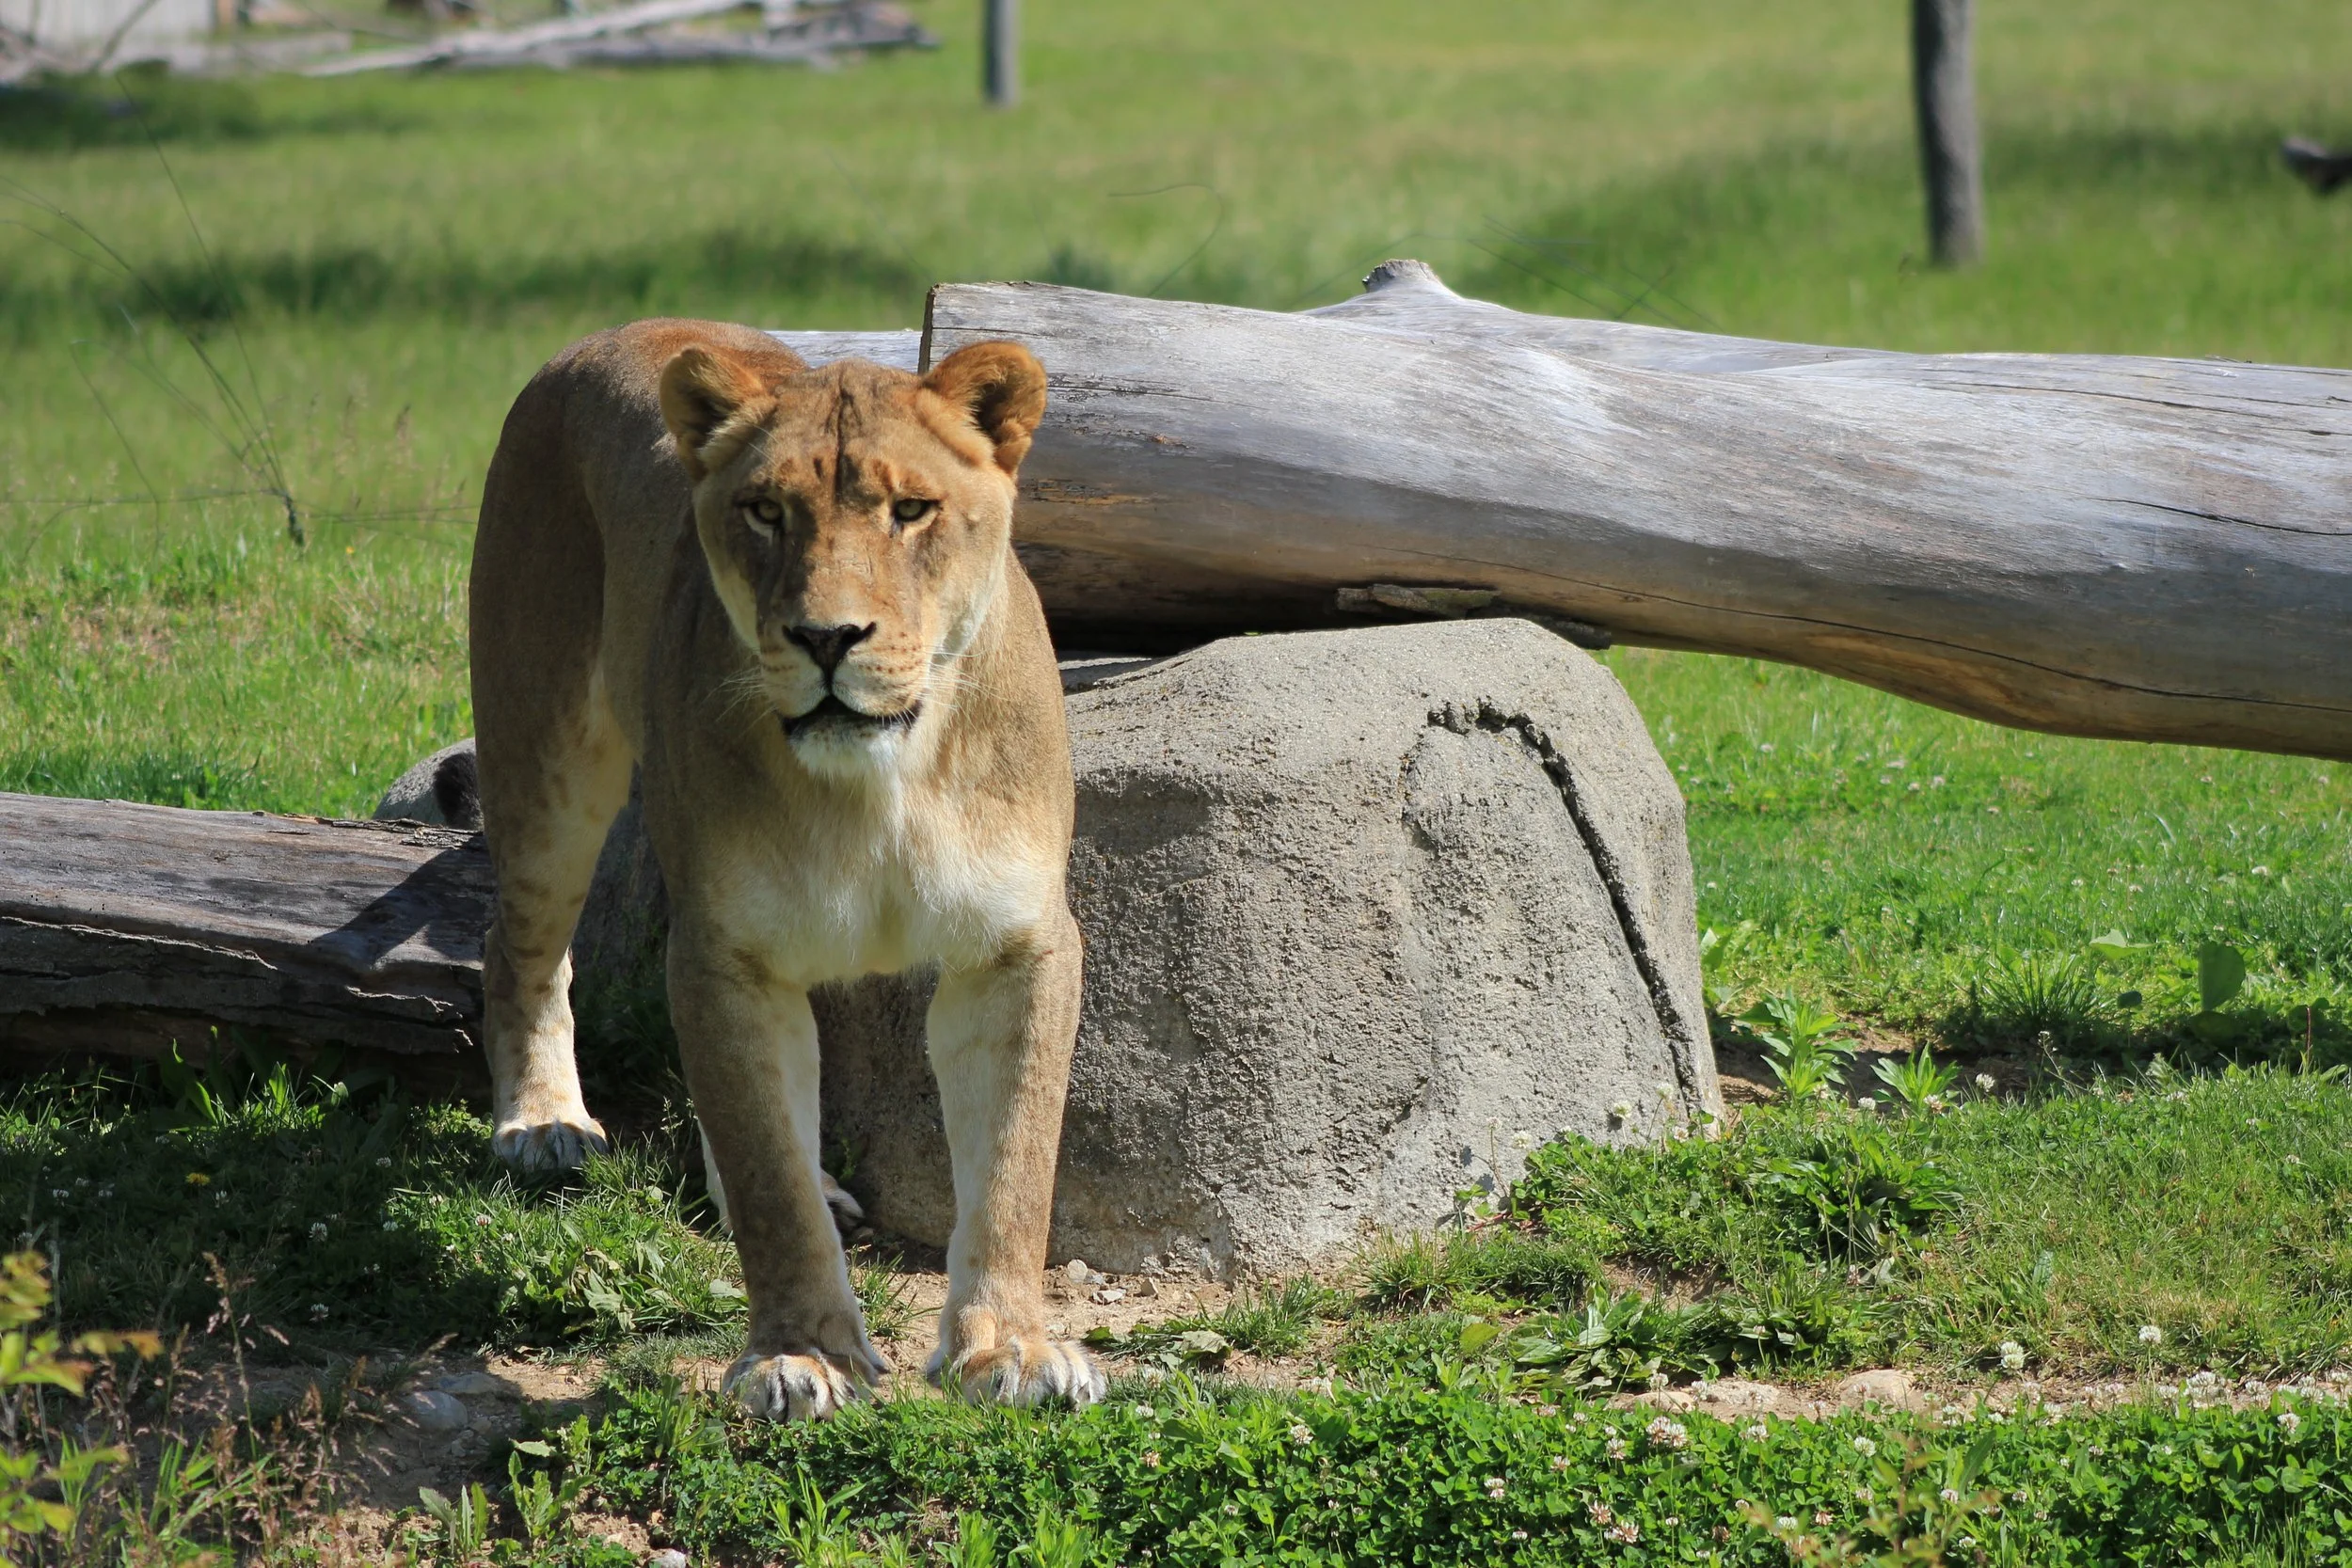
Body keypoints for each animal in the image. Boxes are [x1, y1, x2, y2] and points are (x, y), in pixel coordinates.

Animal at [467, 318, 1102, 1418]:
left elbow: (1015, 1162)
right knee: (518, 950)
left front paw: (1009, 1349)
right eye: (766, 512)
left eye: (910, 509)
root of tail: (599, 337)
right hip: (546, 769)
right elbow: (772, 1180)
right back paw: (542, 1123)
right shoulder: (729, 952)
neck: (885, 780)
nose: (826, 636)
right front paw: (800, 1354)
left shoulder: (1016, 946)